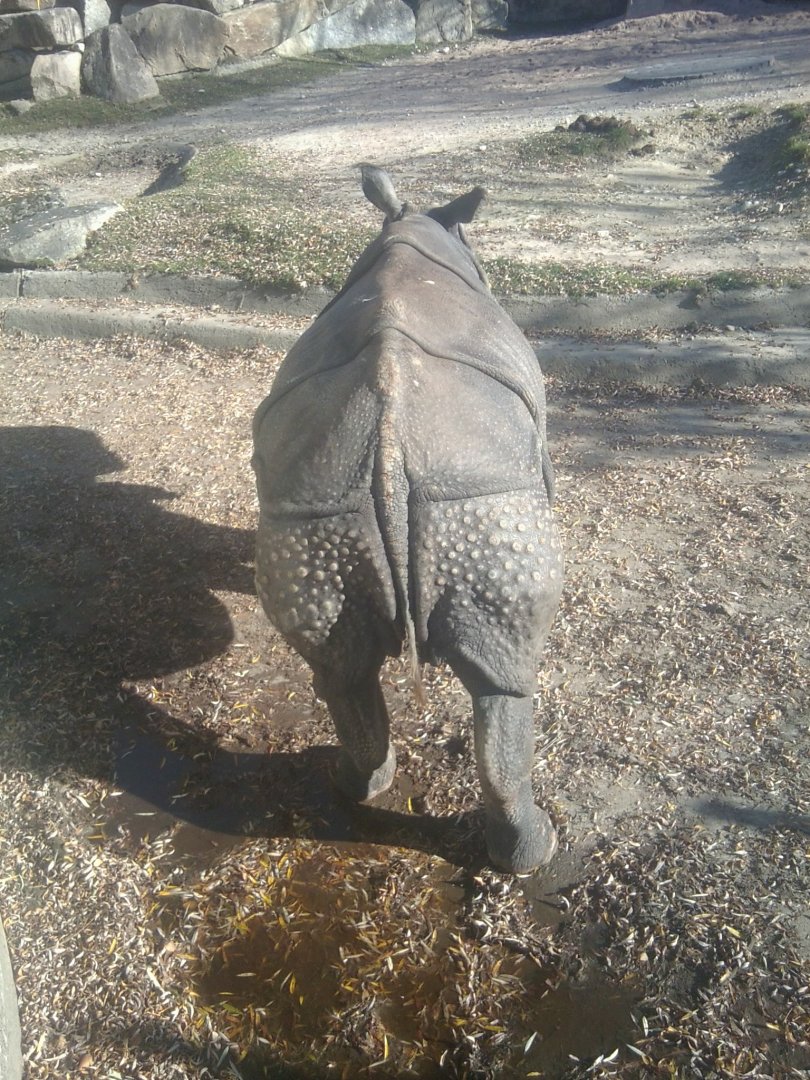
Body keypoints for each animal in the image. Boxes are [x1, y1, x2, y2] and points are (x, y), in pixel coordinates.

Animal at [252, 167, 564, 873]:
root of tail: (390, 455)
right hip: (485, 508)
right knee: (506, 686)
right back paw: (533, 853)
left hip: (317, 516)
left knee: (341, 669)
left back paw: (355, 784)